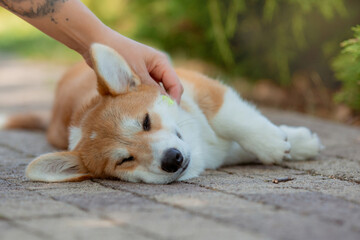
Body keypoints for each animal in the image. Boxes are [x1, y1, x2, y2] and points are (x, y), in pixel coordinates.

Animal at [0, 43, 324, 184]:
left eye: (145, 122)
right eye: (124, 160)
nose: (173, 160)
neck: (201, 145)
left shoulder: (201, 89)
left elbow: (235, 120)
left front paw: (282, 142)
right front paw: (288, 144)